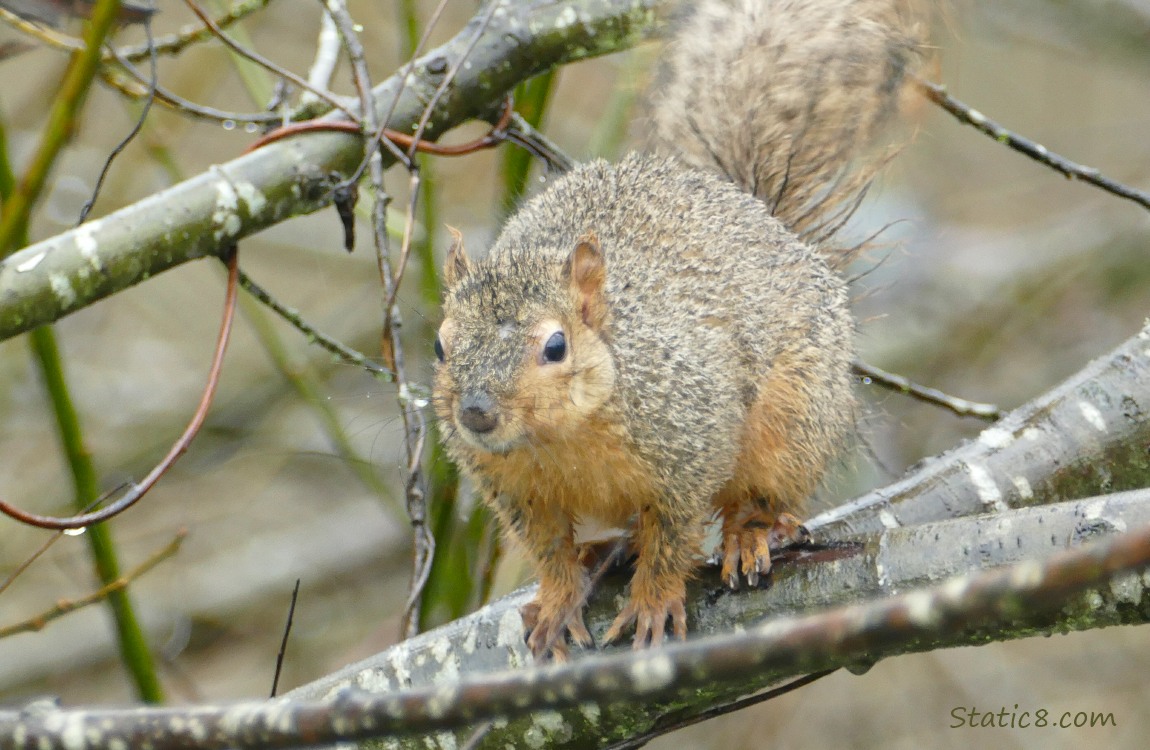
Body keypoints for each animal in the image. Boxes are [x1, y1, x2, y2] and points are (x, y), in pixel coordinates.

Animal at [432, 0, 924, 657]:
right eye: (440, 345)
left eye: (556, 346)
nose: (477, 414)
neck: (560, 440)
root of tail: (764, 219)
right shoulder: (517, 492)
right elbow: (549, 550)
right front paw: (559, 599)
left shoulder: (692, 441)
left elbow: (674, 536)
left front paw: (653, 602)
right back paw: (603, 552)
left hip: (794, 418)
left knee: (762, 495)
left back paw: (751, 534)